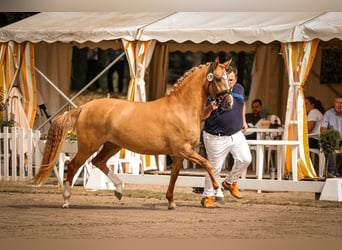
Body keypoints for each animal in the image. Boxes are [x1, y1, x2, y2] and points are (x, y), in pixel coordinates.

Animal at [33, 56, 232, 209]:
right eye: (218, 78)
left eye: (228, 78)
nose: (229, 103)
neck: (181, 108)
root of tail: (84, 107)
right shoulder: (184, 150)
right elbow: (207, 164)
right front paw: (220, 193)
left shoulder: (179, 154)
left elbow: (174, 177)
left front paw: (171, 202)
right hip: (89, 147)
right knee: (74, 166)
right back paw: (67, 200)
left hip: (111, 145)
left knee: (98, 162)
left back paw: (119, 189)